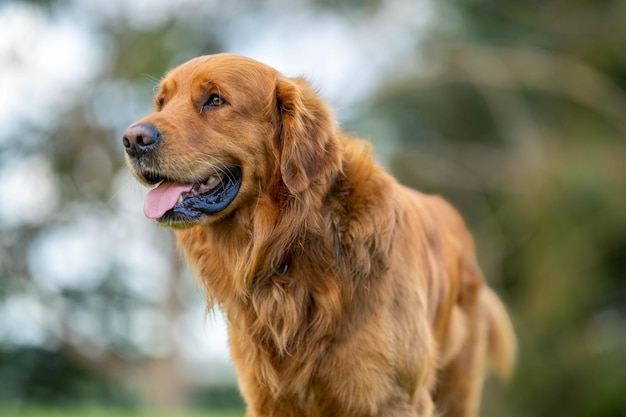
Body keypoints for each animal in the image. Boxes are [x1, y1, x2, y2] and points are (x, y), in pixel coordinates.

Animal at [120, 53, 512, 414]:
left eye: (215, 100)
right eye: (162, 102)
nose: (132, 139)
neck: (298, 238)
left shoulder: (391, 400)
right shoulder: (268, 400)